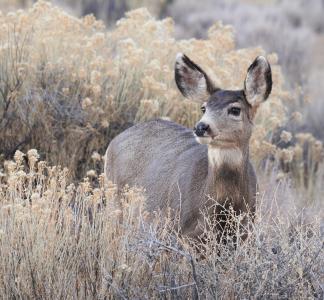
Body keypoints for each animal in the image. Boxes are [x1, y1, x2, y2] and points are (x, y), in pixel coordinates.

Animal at [105, 52, 272, 238]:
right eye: (203, 108)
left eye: (235, 109)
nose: (201, 127)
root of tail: (115, 139)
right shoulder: (179, 229)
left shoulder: (244, 232)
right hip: (114, 199)